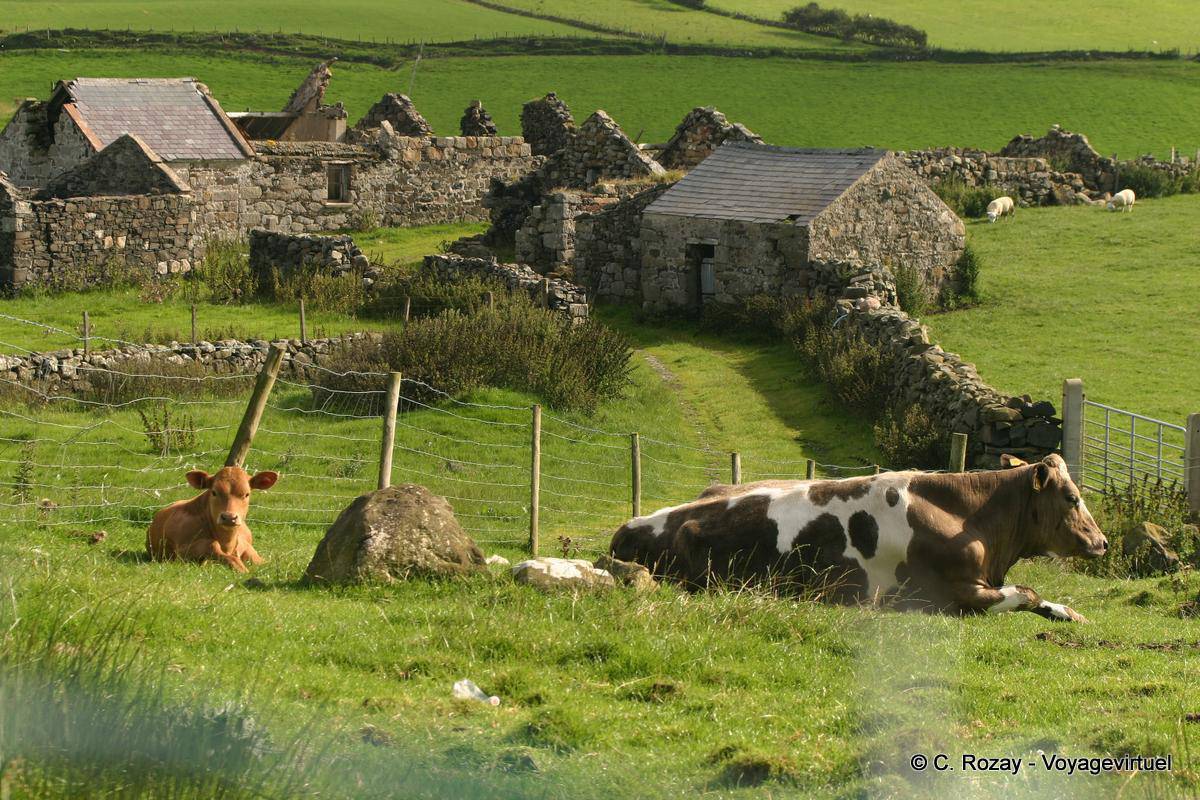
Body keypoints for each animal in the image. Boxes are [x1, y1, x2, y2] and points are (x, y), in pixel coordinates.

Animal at [146, 467, 279, 573]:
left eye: (246, 494)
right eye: (214, 492)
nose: (229, 517)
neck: (227, 542)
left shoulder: (245, 545)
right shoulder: (182, 551)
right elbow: (213, 545)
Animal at [609, 454, 1106, 622]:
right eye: (1072, 497)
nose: (1101, 542)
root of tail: (627, 527)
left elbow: (1035, 594)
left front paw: (1070, 612)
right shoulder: (953, 592)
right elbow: (1025, 590)